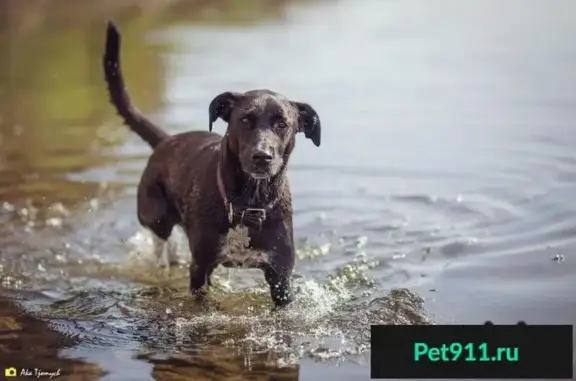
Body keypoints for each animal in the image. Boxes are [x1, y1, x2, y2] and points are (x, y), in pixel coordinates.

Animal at [102, 21, 320, 306]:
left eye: (282, 124)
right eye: (245, 120)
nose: (262, 156)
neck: (248, 205)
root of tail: (167, 140)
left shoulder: (281, 277)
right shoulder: (201, 269)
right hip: (155, 216)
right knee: (161, 245)